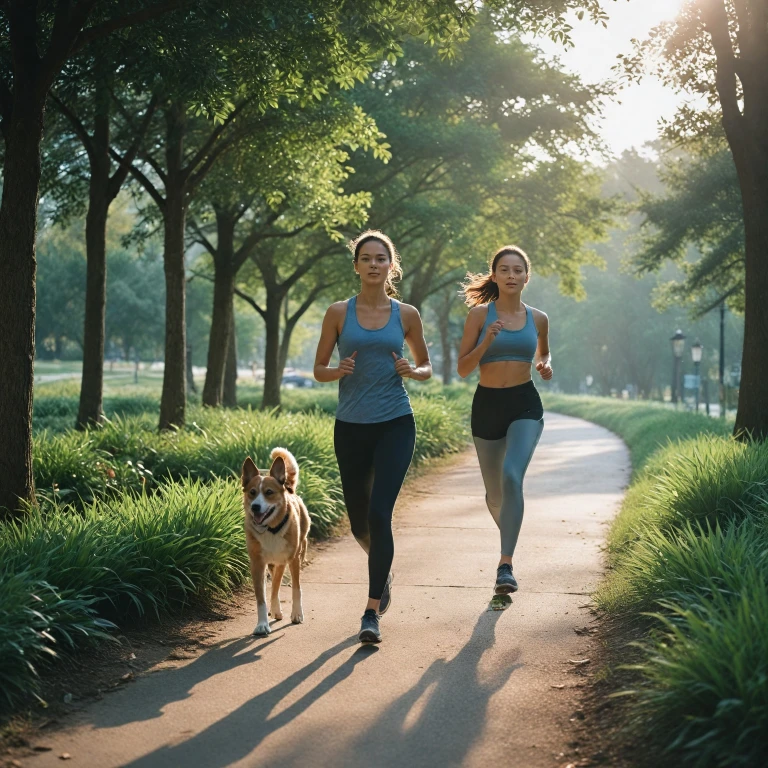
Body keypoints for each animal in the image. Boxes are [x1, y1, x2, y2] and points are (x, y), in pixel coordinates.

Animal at [242, 448, 310, 640]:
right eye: (252, 492)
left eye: (269, 492)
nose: (255, 507)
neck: (270, 529)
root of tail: (288, 488)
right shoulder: (257, 564)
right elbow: (261, 597)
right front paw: (262, 625)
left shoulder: (293, 559)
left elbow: (296, 588)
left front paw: (297, 614)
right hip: (273, 563)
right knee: (274, 587)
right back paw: (275, 610)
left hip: (289, 557)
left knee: (278, 585)